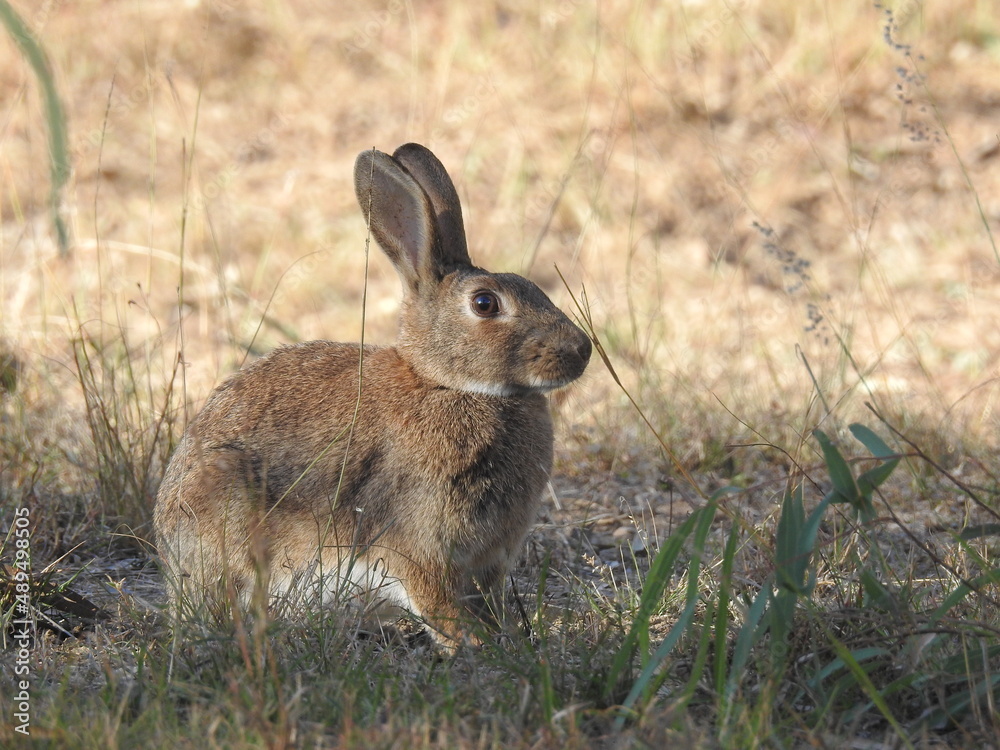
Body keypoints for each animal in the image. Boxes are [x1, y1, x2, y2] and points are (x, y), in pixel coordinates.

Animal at [154, 143, 592, 650]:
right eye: (485, 304)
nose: (581, 350)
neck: (445, 383)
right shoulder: (419, 542)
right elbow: (437, 604)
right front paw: (473, 645)